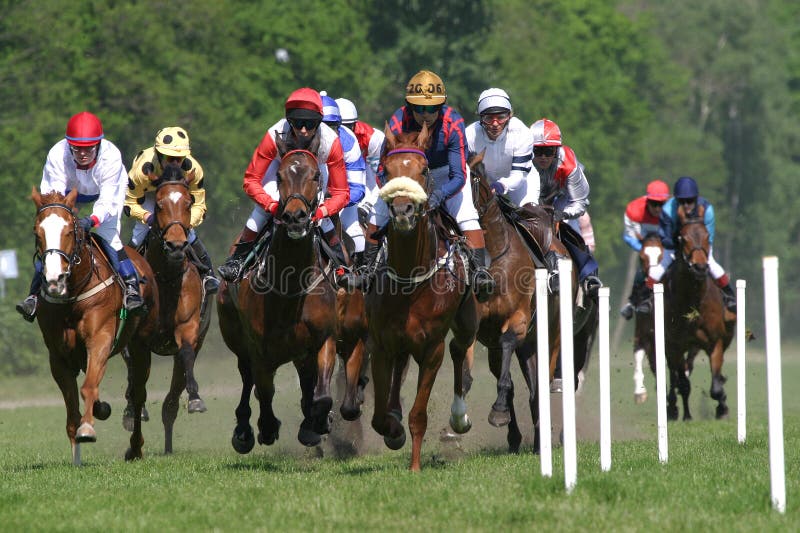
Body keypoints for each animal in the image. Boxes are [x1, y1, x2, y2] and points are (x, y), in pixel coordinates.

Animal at [30, 188, 158, 462]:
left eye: (69, 231)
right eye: (38, 232)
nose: (54, 279)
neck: (73, 293)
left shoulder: (100, 339)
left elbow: (89, 387)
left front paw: (87, 428)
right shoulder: (58, 356)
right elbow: (71, 410)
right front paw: (76, 457)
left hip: (141, 343)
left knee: (138, 394)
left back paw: (135, 447)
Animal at [121, 164, 214, 450]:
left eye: (188, 202)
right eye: (159, 205)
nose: (175, 245)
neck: (165, 277)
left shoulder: (188, 328)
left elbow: (186, 354)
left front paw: (195, 399)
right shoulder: (139, 340)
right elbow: (134, 371)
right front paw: (133, 411)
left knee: (171, 398)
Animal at [219, 139, 368, 450]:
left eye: (315, 176)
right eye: (279, 176)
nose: (295, 216)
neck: (290, 283)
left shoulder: (326, 339)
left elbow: (322, 396)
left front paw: (318, 423)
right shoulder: (260, 348)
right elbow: (264, 391)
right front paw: (266, 427)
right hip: (236, 338)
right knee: (247, 378)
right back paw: (244, 431)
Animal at [366, 123, 478, 470]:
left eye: (424, 169)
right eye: (386, 170)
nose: (403, 210)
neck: (410, 279)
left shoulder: (432, 349)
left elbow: (419, 414)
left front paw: (414, 467)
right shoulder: (381, 343)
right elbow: (378, 416)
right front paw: (393, 430)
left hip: (467, 321)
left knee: (459, 348)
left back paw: (459, 418)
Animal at [664, 206, 732, 418]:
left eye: (707, 235)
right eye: (683, 238)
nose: (700, 267)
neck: (693, 301)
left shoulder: (716, 342)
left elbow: (716, 386)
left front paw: (722, 407)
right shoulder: (676, 346)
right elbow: (682, 382)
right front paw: (683, 414)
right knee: (675, 376)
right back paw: (672, 407)